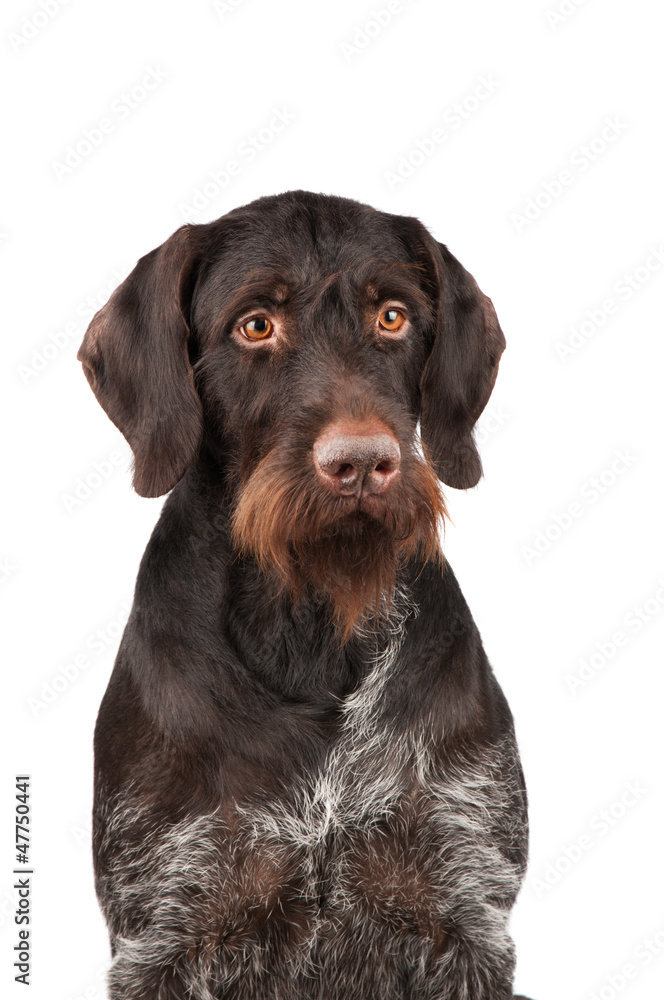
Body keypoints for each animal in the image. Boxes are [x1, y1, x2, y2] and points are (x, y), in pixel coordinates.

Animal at [79, 189, 536, 1000]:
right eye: (256, 324)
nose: (361, 463)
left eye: (393, 316)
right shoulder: (162, 933)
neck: (311, 625)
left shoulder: (466, 917)